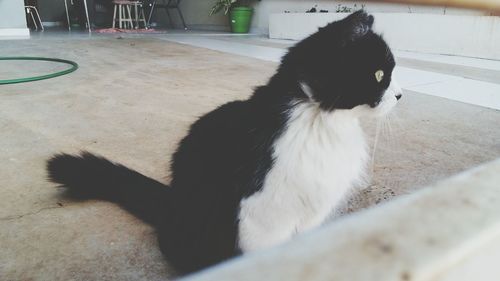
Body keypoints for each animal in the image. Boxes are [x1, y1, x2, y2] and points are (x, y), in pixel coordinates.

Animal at [47, 10, 402, 274]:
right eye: (379, 75)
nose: (400, 95)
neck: (320, 122)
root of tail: (170, 201)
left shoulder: (311, 215)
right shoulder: (261, 217)